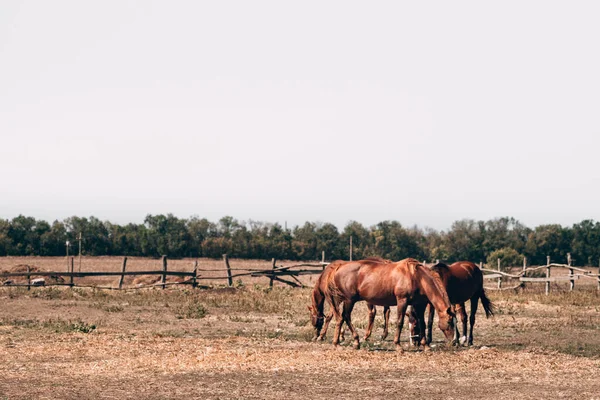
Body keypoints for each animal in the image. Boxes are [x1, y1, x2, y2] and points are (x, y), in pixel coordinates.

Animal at [324, 256, 454, 350]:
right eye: (449, 321)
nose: (453, 340)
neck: (416, 277)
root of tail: (339, 267)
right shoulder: (402, 301)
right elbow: (400, 322)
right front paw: (398, 346)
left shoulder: (419, 305)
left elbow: (422, 323)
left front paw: (426, 346)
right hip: (349, 300)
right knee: (345, 316)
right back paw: (355, 341)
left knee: (340, 318)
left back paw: (337, 343)